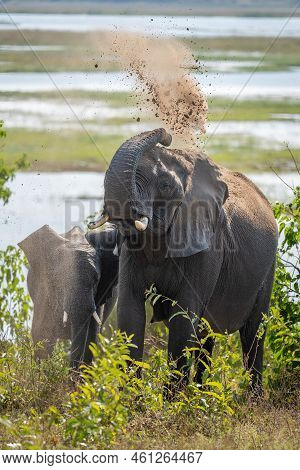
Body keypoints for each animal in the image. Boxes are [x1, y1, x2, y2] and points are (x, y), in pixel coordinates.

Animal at [89, 127, 278, 392]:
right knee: (205, 335)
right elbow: (130, 312)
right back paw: (199, 395)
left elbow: (183, 318)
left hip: (267, 269)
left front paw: (170, 400)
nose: (165, 134)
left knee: (253, 333)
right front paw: (132, 399)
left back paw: (252, 398)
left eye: (166, 185)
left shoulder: (209, 246)